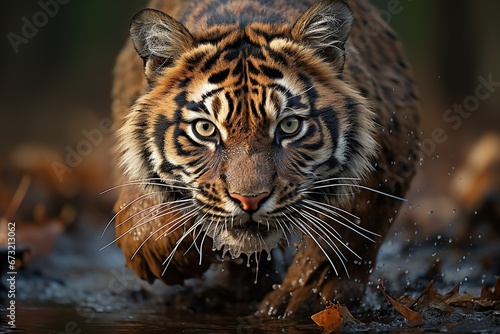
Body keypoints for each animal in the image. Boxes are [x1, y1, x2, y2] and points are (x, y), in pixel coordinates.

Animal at [111, 0, 420, 316]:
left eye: (289, 126)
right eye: (205, 128)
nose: (250, 201)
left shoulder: (388, 155)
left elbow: (345, 233)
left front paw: (305, 297)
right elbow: (142, 217)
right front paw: (170, 254)